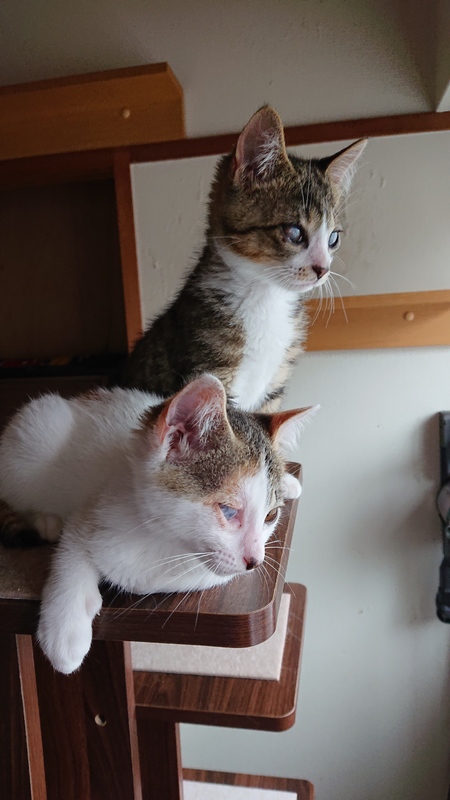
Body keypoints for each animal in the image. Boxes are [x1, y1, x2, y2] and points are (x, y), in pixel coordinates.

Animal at [0, 374, 315, 673]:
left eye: (270, 517)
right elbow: (72, 548)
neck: (160, 537)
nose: (255, 561)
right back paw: (46, 521)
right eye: (228, 510)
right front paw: (65, 629)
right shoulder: (92, 508)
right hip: (31, 445)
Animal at [121, 105, 366, 412]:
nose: (322, 269)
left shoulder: (275, 385)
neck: (265, 298)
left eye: (333, 238)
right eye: (294, 232)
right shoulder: (209, 373)